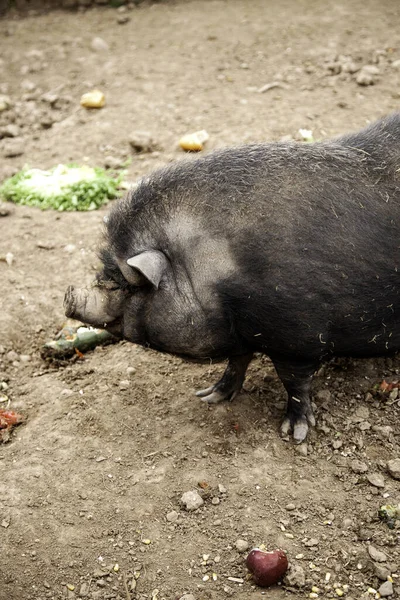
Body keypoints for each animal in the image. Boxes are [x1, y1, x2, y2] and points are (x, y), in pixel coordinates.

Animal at [64, 115, 400, 440]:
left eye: (126, 284)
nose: (68, 296)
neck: (218, 271)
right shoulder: (241, 330)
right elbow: (237, 362)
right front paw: (209, 397)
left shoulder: (298, 335)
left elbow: (294, 382)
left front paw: (294, 434)